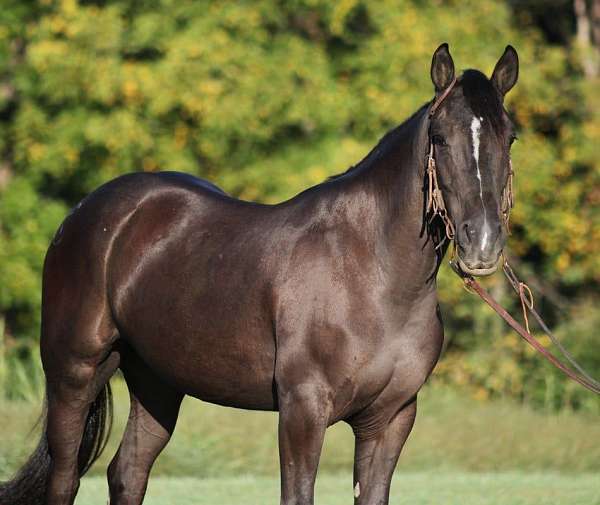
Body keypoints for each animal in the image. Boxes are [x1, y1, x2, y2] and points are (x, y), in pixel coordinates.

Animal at [0, 44, 516, 504]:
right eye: (440, 137)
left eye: (508, 138)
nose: (482, 243)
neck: (373, 275)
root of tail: (85, 214)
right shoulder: (302, 409)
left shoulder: (390, 418)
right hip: (74, 373)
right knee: (65, 479)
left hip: (156, 383)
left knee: (127, 473)